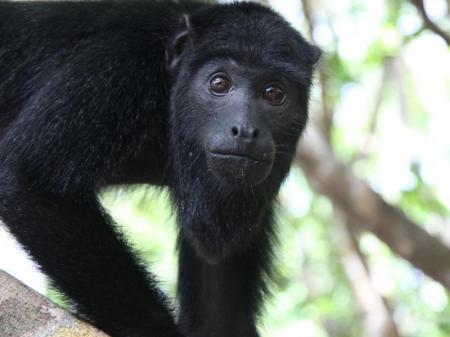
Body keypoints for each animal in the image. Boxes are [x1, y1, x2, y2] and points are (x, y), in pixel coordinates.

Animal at [0, 0, 320, 336]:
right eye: (219, 83)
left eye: (274, 93)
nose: (245, 131)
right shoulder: (119, 66)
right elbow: (29, 180)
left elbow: (218, 315)